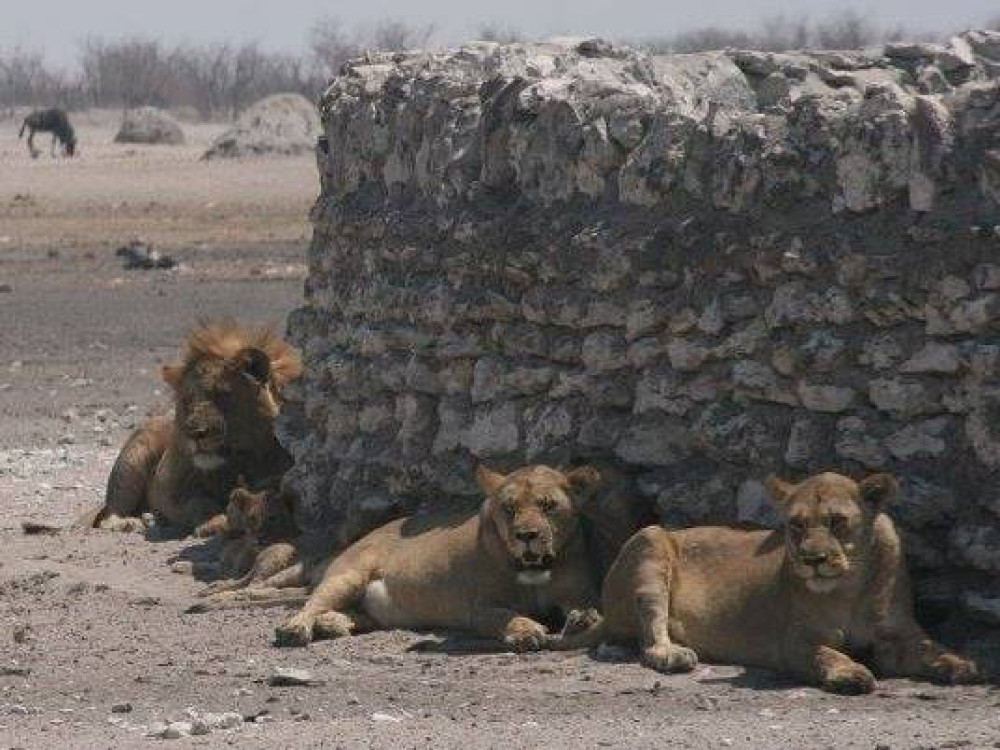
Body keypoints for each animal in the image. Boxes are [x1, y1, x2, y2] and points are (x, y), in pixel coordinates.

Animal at [81, 321, 302, 536]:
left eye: (222, 395)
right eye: (187, 400)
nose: (194, 433)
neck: (233, 464)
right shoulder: (169, 484)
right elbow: (199, 502)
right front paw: (214, 523)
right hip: (131, 461)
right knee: (109, 514)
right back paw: (131, 523)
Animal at [266, 464, 604, 650]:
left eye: (548, 506)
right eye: (509, 508)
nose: (527, 535)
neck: (534, 569)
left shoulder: (578, 592)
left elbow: (588, 607)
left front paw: (583, 620)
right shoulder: (479, 608)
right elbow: (504, 616)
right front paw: (527, 630)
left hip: (371, 608)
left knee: (350, 613)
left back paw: (332, 624)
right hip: (348, 576)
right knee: (312, 604)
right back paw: (296, 629)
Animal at [550, 472, 980, 694]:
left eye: (837, 521)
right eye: (797, 524)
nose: (812, 560)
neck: (848, 588)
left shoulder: (897, 636)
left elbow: (929, 647)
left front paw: (960, 664)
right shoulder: (793, 641)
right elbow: (825, 653)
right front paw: (851, 673)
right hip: (650, 539)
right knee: (649, 637)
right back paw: (673, 653)